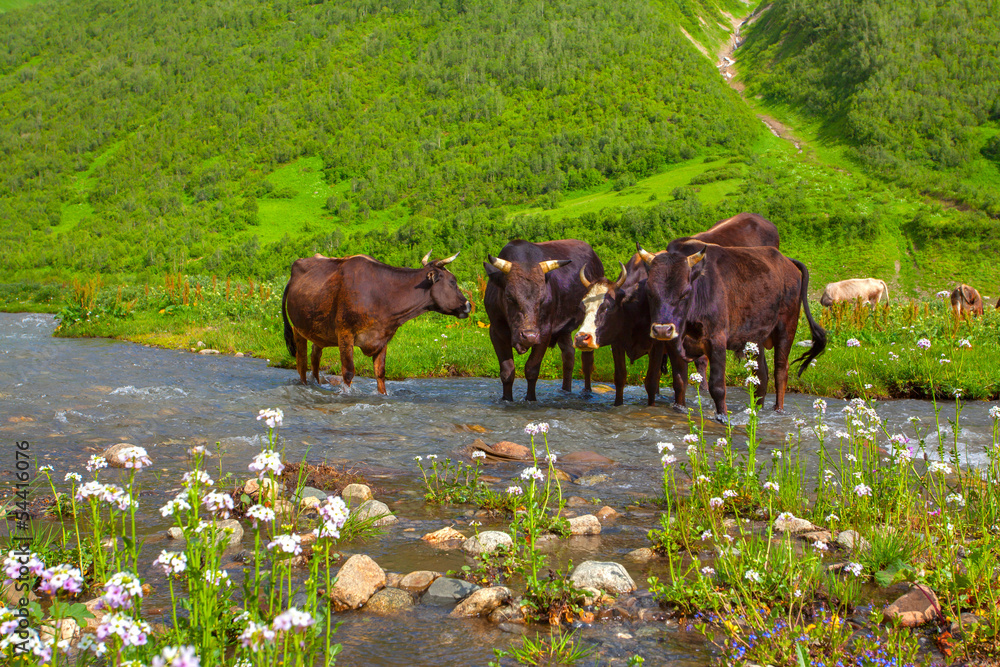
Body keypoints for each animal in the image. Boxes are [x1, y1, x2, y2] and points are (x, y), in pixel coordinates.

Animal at [282, 251, 471, 394]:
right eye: (453, 282)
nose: (468, 305)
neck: (381, 293)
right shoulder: (345, 333)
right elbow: (348, 372)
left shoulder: (382, 336)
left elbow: (380, 374)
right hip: (298, 329)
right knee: (302, 362)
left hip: (318, 331)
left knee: (315, 358)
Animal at [484, 240, 604, 401]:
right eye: (509, 296)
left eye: (542, 299)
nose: (529, 336)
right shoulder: (496, 331)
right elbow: (507, 371)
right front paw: (507, 399)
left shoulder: (545, 332)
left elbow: (531, 369)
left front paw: (530, 399)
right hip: (564, 330)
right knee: (568, 356)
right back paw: (565, 390)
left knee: (587, 361)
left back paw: (587, 391)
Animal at [573, 212, 779, 407]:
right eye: (582, 305)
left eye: (608, 307)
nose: (582, 338)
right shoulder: (617, 343)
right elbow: (620, 380)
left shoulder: (657, 345)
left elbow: (652, 381)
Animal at [643, 241, 826, 421]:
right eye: (650, 292)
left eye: (685, 293)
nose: (662, 330)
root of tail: (786, 261)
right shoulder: (674, 344)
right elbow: (680, 382)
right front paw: (679, 409)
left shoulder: (717, 341)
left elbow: (717, 386)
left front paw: (723, 416)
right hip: (756, 338)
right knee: (762, 373)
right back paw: (757, 409)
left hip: (786, 328)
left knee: (780, 370)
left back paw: (778, 410)